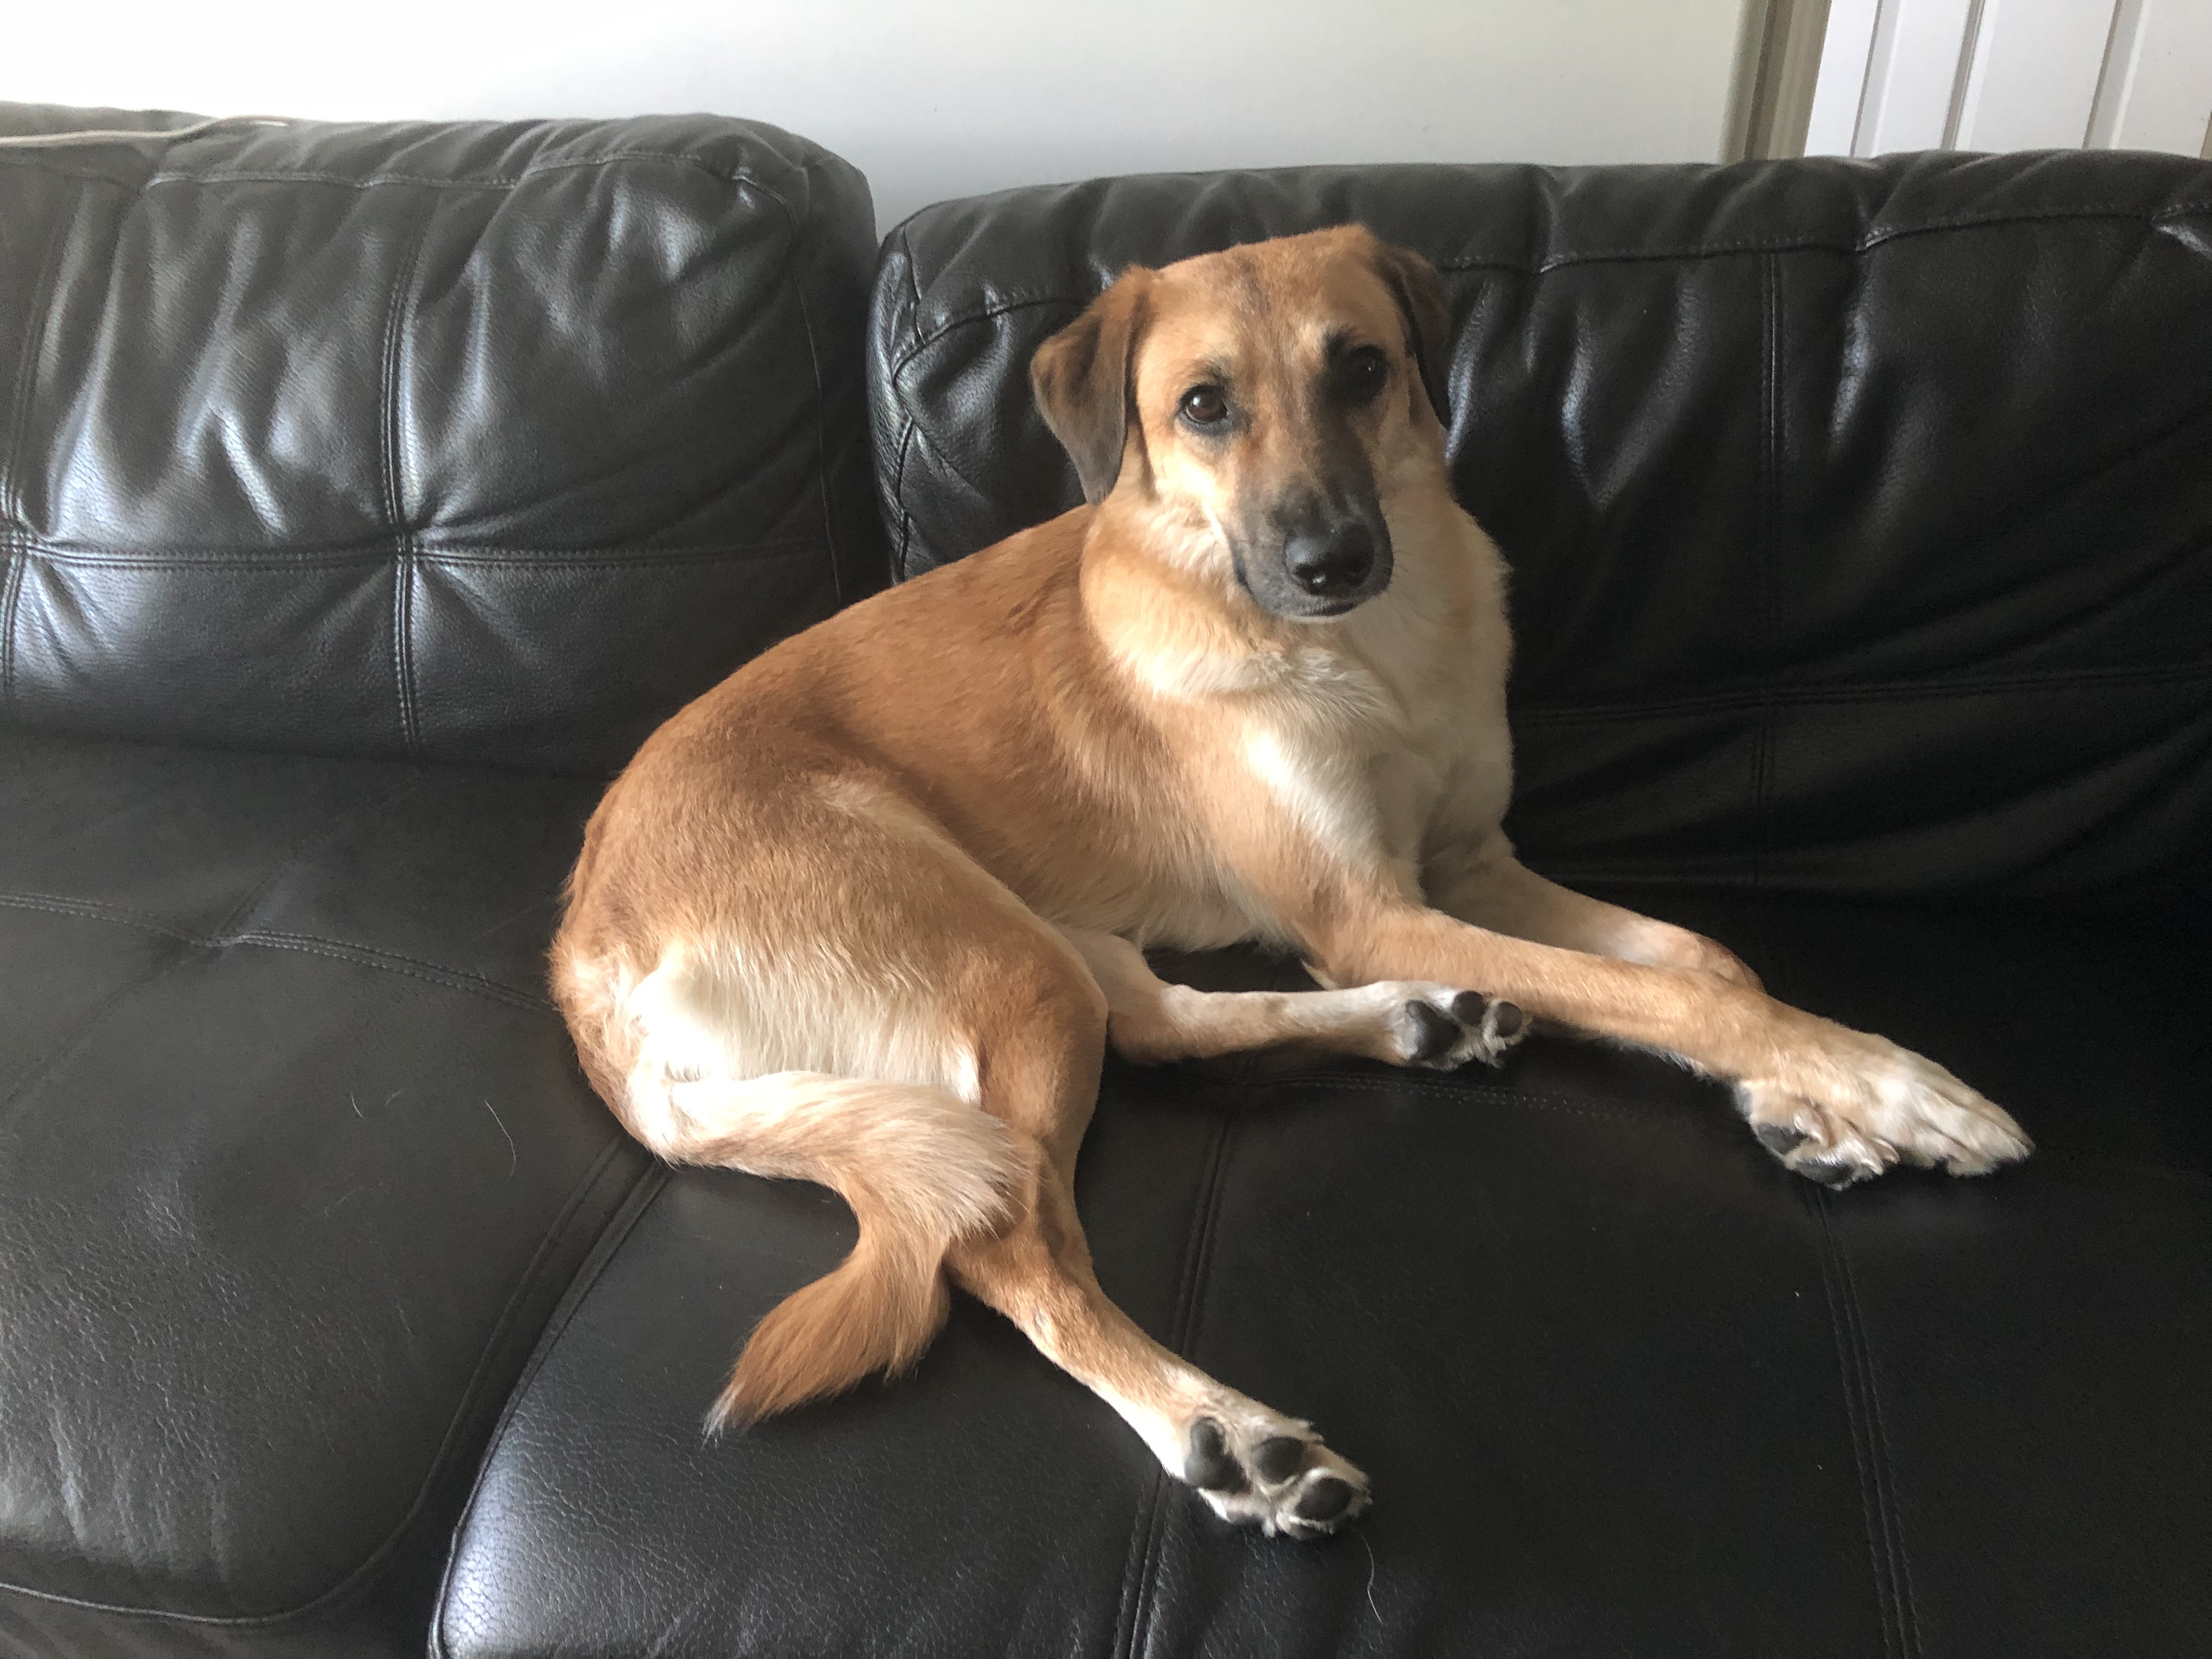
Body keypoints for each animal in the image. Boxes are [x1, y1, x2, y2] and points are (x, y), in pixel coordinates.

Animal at [551, 225, 2031, 1537]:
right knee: (1005, 1239)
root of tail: (584, 963)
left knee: (1152, 1027)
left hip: (1048, 942)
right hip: (995, 953)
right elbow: (1671, 997)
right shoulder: (1371, 908)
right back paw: (1227, 1433)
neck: (1377, 652)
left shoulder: (1468, 866)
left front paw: (1803, 1094)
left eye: (1363, 369)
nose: (1333, 562)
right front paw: (1888, 1081)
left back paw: (1420, 1024)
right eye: (1204, 408)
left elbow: (1704, 968)